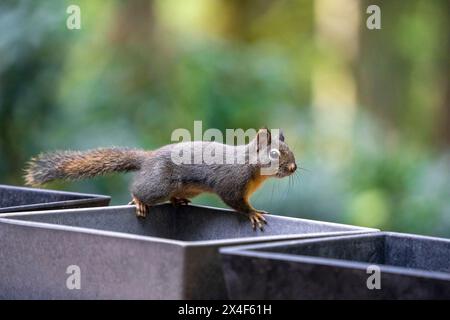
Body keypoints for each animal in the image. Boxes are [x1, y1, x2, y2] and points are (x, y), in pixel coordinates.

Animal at [25, 128, 298, 230]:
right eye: (275, 154)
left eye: (290, 150)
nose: (294, 167)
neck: (251, 166)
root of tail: (148, 159)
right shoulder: (232, 183)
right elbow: (236, 202)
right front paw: (253, 213)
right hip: (159, 185)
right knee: (139, 189)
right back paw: (138, 201)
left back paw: (177, 201)